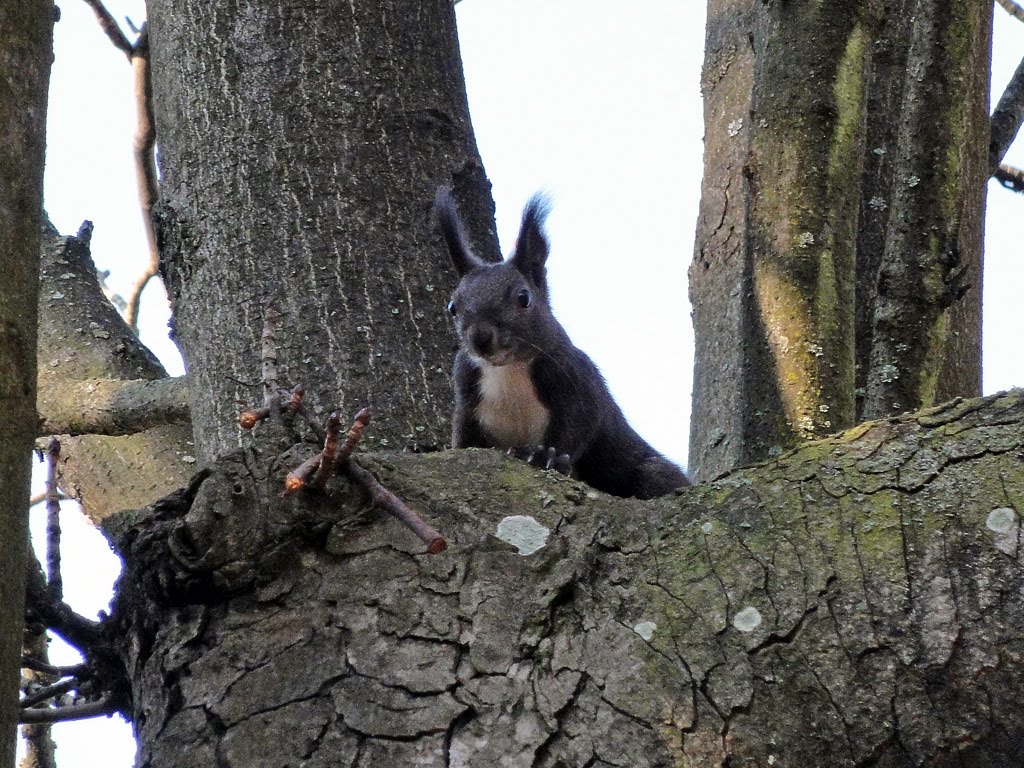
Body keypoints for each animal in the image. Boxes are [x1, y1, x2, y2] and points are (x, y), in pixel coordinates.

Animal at [428, 189, 692, 501]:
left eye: (524, 298)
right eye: (452, 307)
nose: (480, 338)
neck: (508, 369)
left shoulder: (576, 377)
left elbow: (578, 424)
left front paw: (549, 457)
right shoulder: (467, 386)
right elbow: (464, 436)